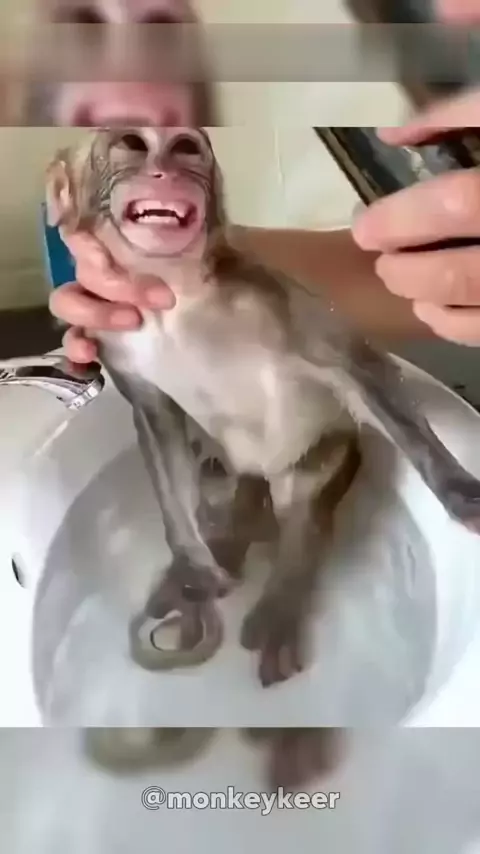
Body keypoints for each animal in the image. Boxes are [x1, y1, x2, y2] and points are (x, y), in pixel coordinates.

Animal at [45, 126, 480, 695]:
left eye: (190, 147)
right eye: (132, 143)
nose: (174, 154)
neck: (175, 300)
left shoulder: (279, 302)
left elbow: (359, 365)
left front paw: (459, 491)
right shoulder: (120, 344)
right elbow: (160, 431)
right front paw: (193, 565)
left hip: (321, 455)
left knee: (302, 511)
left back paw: (278, 602)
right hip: (235, 472)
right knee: (229, 482)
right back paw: (221, 549)